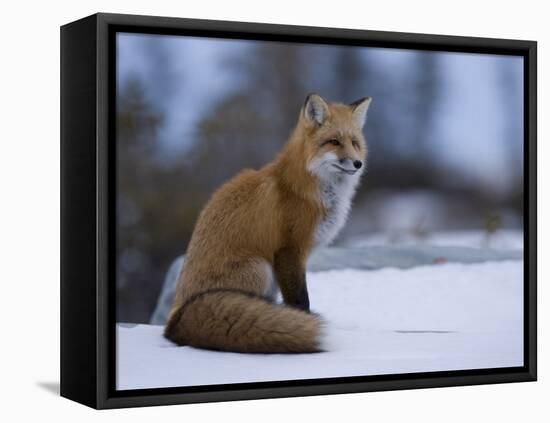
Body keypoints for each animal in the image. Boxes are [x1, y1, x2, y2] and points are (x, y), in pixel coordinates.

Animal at [164, 94, 370, 352]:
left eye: (355, 143)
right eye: (334, 142)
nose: (357, 163)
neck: (304, 188)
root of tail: (175, 319)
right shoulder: (289, 250)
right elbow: (299, 299)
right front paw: (302, 322)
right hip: (259, 268)